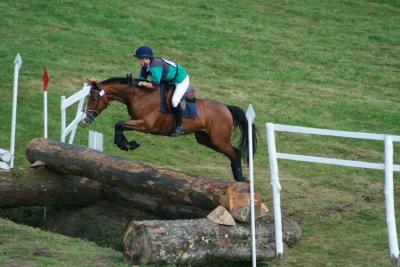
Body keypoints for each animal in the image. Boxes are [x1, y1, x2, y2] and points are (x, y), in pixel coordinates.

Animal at [81, 75, 258, 182]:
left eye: (94, 98)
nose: (86, 118)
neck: (139, 96)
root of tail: (226, 108)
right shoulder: (138, 122)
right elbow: (120, 126)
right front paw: (127, 144)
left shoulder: (146, 124)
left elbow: (119, 124)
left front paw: (125, 144)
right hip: (205, 139)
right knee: (232, 152)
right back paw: (240, 179)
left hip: (218, 139)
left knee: (235, 152)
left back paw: (240, 179)